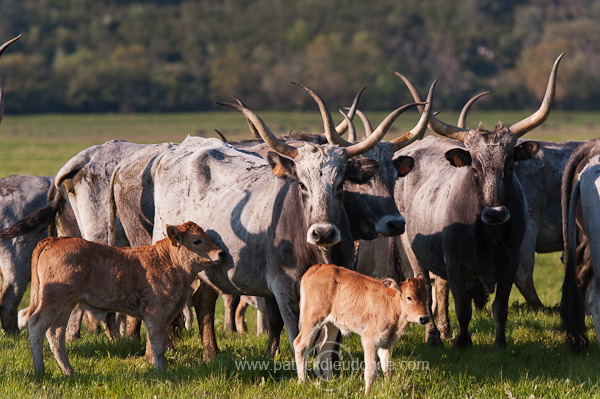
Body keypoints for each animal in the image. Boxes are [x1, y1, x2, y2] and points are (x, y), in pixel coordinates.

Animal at [22, 222, 225, 376]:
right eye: (197, 241)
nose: (221, 253)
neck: (168, 261)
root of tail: (55, 240)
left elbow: (154, 342)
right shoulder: (156, 314)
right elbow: (158, 345)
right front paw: (160, 371)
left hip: (66, 305)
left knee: (55, 333)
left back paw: (69, 372)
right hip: (53, 300)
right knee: (37, 325)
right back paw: (40, 370)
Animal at [292, 264, 428, 396]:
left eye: (427, 298)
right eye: (409, 297)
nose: (424, 318)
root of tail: (316, 267)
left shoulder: (386, 341)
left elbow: (387, 367)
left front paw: (389, 385)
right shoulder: (370, 339)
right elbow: (371, 370)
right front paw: (367, 393)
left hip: (331, 324)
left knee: (324, 347)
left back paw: (330, 381)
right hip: (312, 318)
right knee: (300, 345)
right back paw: (303, 382)